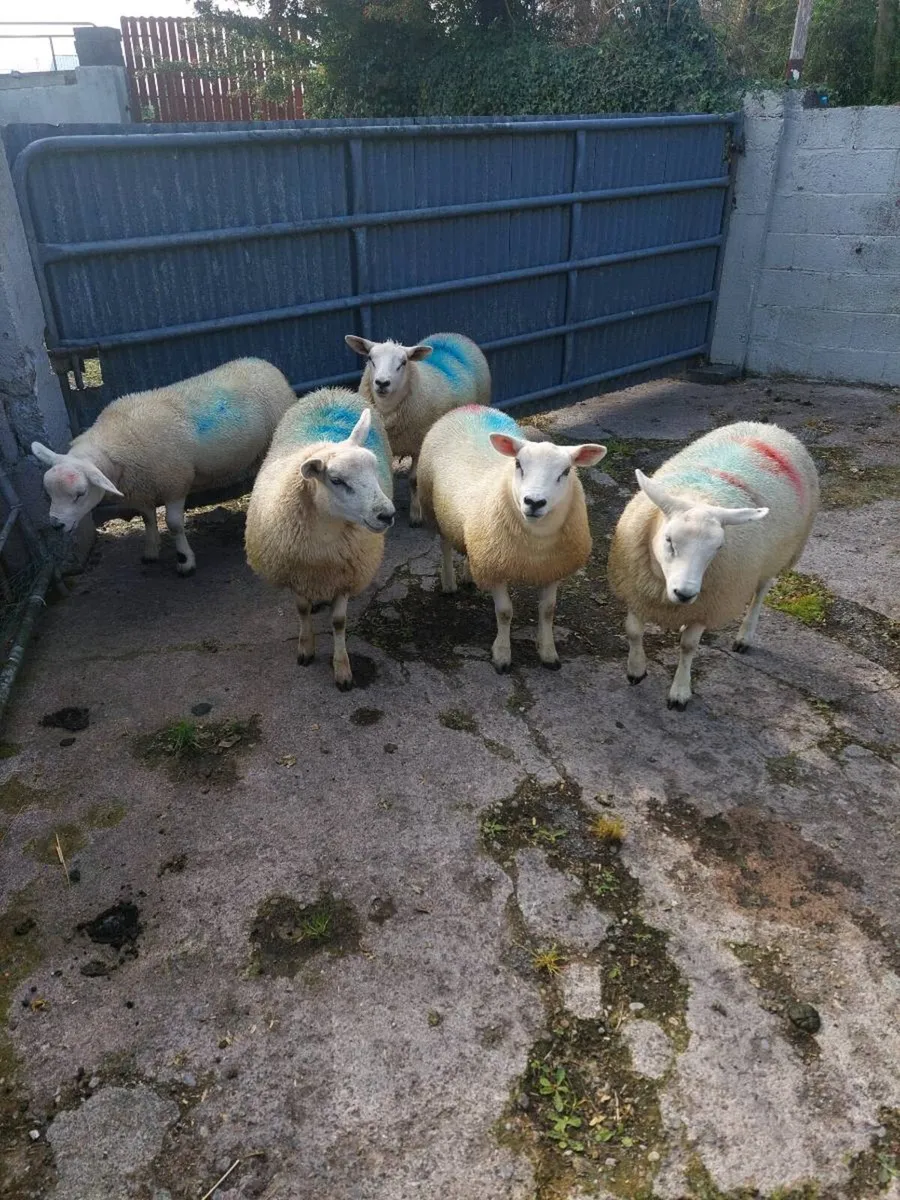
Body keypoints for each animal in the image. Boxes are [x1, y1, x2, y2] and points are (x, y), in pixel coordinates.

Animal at [31, 358, 297, 576]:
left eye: (80, 494)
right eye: (49, 493)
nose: (56, 525)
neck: (115, 445)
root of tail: (264, 364)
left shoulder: (175, 482)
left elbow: (174, 524)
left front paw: (185, 561)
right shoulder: (141, 487)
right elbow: (148, 519)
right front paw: (151, 551)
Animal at [244, 388, 395, 691]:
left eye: (374, 469)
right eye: (336, 480)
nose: (387, 515)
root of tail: (331, 391)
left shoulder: (345, 575)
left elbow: (338, 622)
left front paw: (342, 669)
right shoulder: (296, 573)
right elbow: (302, 609)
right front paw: (306, 648)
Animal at [345, 331, 491, 526]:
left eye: (403, 362)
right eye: (370, 358)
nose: (382, 383)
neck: (387, 411)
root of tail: (451, 334)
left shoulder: (418, 444)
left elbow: (414, 481)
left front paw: (416, 514)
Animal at [417, 404, 606, 672]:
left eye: (566, 471)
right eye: (518, 464)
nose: (534, 502)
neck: (536, 545)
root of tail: (469, 407)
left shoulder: (552, 569)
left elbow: (548, 610)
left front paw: (548, 652)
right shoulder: (494, 567)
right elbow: (505, 612)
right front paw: (502, 654)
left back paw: (468, 575)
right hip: (434, 509)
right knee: (444, 545)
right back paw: (449, 583)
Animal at [607, 420, 820, 710]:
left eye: (718, 548)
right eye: (669, 540)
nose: (685, 594)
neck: (700, 496)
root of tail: (768, 426)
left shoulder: (709, 604)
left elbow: (688, 646)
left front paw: (680, 691)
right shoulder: (637, 588)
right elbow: (633, 631)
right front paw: (636, 670)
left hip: (777, 555)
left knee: (760, 592)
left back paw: (745, 636)